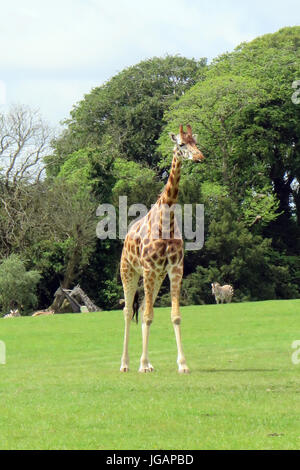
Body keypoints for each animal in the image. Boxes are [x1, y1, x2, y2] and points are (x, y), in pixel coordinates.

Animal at [119, 123, 204, 372]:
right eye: (181, 144)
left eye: (196, 142)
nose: (199, 157)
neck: (167, 219)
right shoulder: (148, 268)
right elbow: (147, 316)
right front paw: (143, 365)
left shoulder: (175, 268)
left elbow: (174, 316)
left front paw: (182, 364)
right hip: (129, 271)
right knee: (128, 311)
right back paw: (125, 364)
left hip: (156, 277)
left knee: (143, 307)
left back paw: (143, 361)